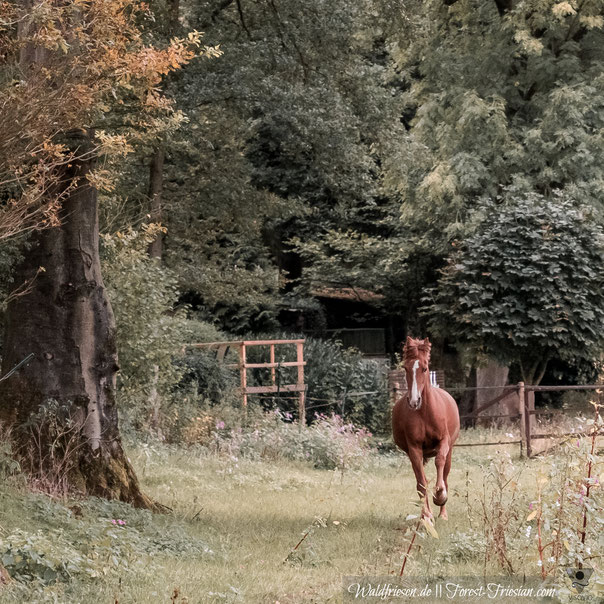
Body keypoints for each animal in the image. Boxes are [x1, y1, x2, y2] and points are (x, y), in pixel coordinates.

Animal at [392, 336, 458, 520]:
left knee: (445, 475)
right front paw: (426, 515)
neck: (424, 413)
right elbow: (421, 483)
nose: (414, 401)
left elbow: (439, 462)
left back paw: (443, 513)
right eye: (405, 368)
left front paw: (440, 496)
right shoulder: (414, 448)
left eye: (425, 368)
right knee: (420, 480)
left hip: (450, 450)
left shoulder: (444, 441)